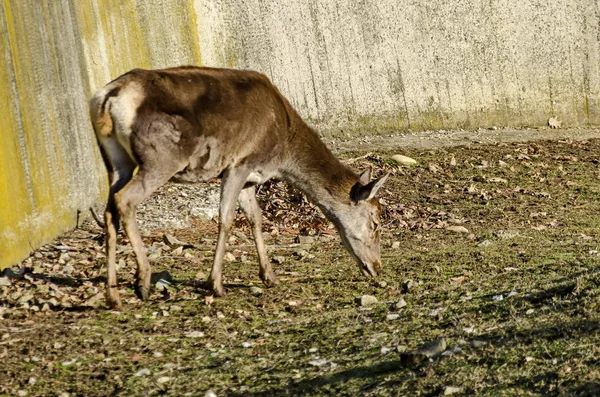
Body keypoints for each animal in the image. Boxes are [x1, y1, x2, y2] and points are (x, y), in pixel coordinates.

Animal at [89, 66, 390, 310]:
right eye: (375, 222)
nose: (377, 267)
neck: (282, 152)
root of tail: (106, 98)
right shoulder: (239, 163)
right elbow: (226, 218)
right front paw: (216, 284)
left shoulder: (250, 176)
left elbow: (255, 218)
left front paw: (269, 276)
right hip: (160, 158)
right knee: (125, 200)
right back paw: (143, 281)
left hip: (115, 161)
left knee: (109, 211)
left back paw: (113, 296)